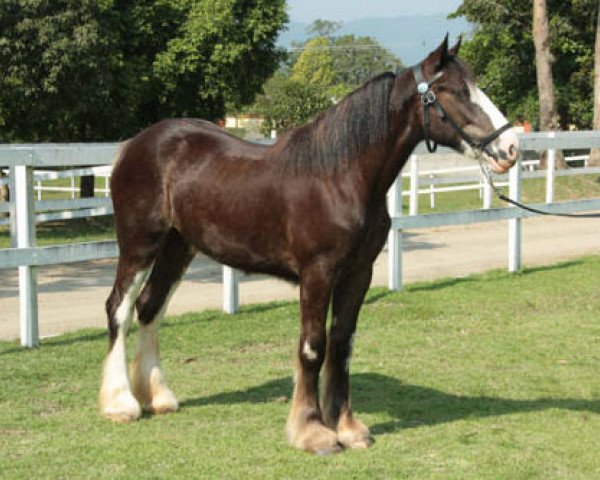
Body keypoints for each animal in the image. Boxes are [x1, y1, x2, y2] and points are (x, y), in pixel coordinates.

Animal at [99, 36, 520, 454]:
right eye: (453, 91)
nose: (511, 148)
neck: (339, 176)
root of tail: (135, 145)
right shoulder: (317, 273)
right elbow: (313, 346)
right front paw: (312, 431)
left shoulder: (358, 273)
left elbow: (342, 344)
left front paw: (348, 428)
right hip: (139, 244)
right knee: (119, 308)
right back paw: (121, 404)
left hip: (178, 246)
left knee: (149, 307)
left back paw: (159, 398)